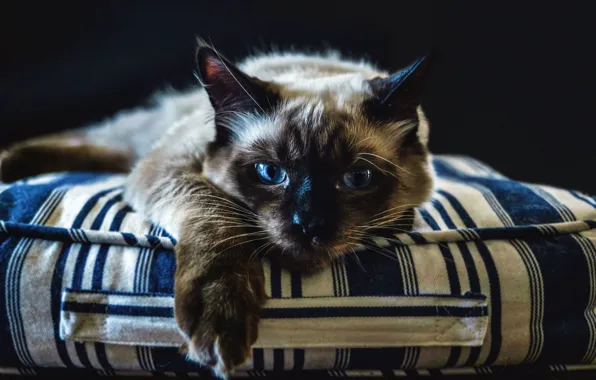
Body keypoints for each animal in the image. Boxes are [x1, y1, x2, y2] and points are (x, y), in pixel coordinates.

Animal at [2, 38, 436, 378]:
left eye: (357, 178)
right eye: (270, 173)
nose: (309, 224)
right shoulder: (171, 167)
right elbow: (217, 216)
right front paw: (220, 314)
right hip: (138, 144)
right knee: (90, 141)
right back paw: (10, 162)